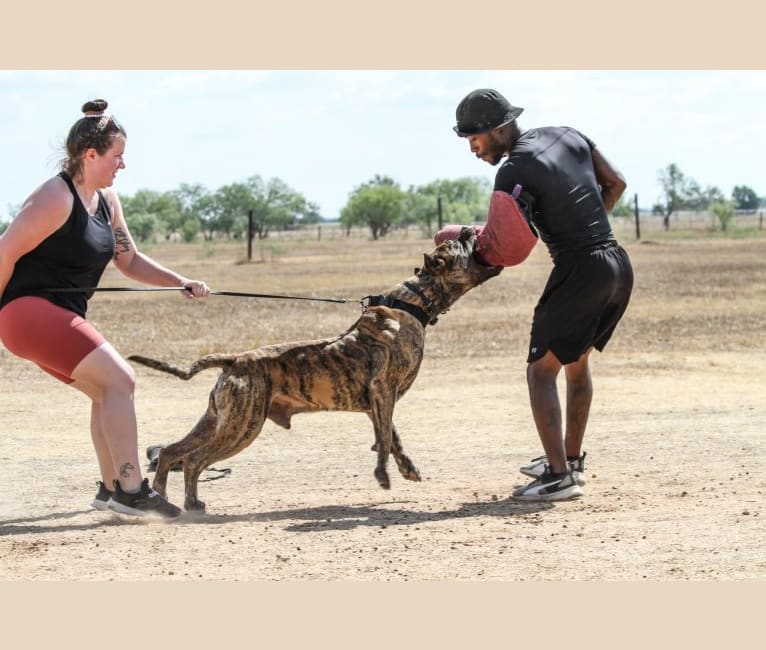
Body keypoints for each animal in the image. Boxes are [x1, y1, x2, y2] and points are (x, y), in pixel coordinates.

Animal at [130, 228, 504, 512]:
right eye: (457, 245)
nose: (467, 229)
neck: (411, 303)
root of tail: (235, 359)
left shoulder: (378, 402)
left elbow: (390, 435)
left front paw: (405, 468)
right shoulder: (383, 391)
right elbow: (385, 439)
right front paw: (383, 475)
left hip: (216, 420)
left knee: (170, 452)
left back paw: (164, 499)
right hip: (241, 426)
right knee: (194, 460)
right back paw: (192, 504)